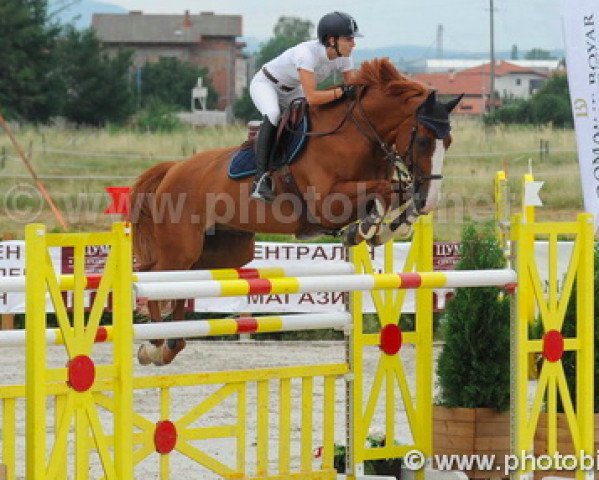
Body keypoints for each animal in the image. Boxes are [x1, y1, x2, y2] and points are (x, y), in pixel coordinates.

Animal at [129, 58, 462, 366]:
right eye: (423, 140)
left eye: (448, 141)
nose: (430, 199)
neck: (357, 137)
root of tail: (173, 169)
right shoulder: (326, 203)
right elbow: (383, 191)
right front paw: (367, 227)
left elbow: (396, 192)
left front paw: (389, 226)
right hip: (182, 247)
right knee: (152, 274)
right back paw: (154, 344)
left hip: (223, 251)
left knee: (178, 283)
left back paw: (170, 344)